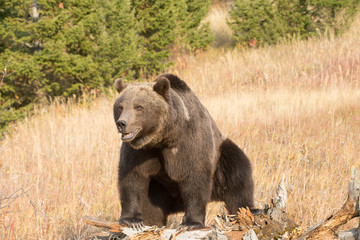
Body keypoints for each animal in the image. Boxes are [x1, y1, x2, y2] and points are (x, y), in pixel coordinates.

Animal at [112, 74, 253, 230]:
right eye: (120, 106)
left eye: (139, 107)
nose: (122, 123)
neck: (164, 138)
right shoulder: (140, 152)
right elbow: (132, 177)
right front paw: (131, 220)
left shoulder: (189, 143)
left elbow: (195, 178)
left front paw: (191, 222)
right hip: (157, 189)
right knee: (152, 208)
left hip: (221, 159)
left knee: (237, 173)